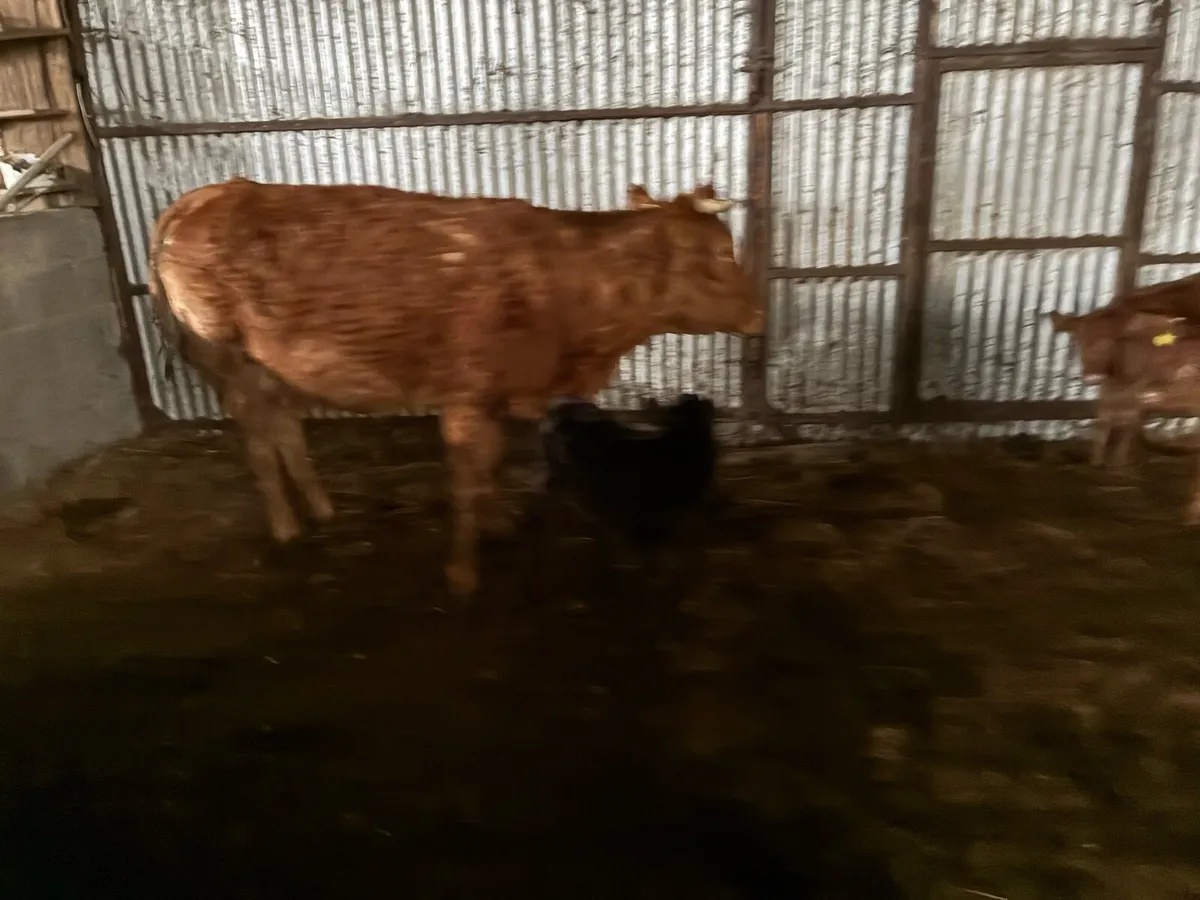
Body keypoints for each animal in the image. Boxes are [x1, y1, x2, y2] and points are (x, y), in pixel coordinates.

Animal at [147, 177, 764, 598]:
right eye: (718, 253)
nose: (759, 312)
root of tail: (209, 195)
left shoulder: (495, 397)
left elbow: (488, 468)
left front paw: (497, 525)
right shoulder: (465, 395)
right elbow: (467, 478)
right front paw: (463, 572)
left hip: (273, 364)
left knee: (283, 426)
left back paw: (320, 509)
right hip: (224, 354)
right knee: (256, 435)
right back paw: (285, 526)